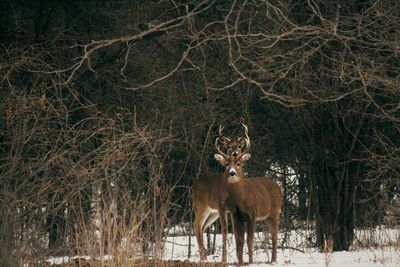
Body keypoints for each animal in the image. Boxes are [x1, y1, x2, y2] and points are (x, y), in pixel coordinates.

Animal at [191, 125, 250, 264]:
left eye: (240, 146)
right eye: (227, 163)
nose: (232, 172)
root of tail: (193, 186)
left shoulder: (233, 210)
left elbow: (236, 232)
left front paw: (239, 258)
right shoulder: (221, 206)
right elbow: (224, 231)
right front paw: (224, 259)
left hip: (212, 213)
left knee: (202, 227)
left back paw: (203, 257)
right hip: (202, 206)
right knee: (196, 225)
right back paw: (204, 258)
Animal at [214, 129, 282, 266]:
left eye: (238, 163)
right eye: (227, 164)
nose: (232, 173)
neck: (241, 198)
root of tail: (279, 187)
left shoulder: (253, 213)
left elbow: (250, 239)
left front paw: (250, 261)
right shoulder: (236, 215)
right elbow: (239, 239)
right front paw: (240, 261)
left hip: (274, 211)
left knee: (275, 234)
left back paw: (273, 260)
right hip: (266, 217)